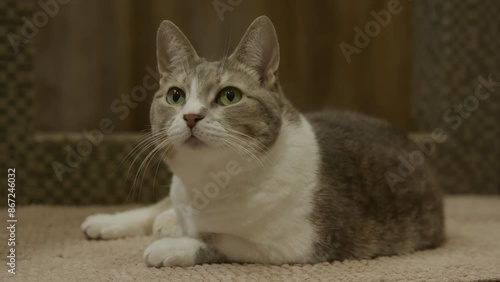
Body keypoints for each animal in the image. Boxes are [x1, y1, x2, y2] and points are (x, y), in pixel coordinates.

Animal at [80, 14, 444, 266]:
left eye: (229, 96)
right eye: (175, 96)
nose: (191, 116)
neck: (207, 186)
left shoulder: (298, 243)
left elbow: (223, 241)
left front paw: (172, 247)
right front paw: (113, 220)